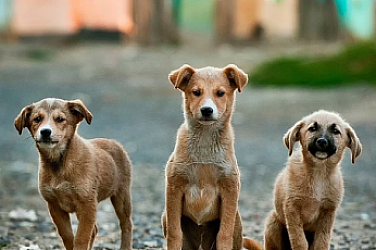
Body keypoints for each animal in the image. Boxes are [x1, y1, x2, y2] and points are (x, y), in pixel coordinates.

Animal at [14, 98, 134, 250]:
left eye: (60, 119)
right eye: (37, 119)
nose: (45, 131)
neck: (60, 163)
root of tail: (114, 142)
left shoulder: (87, 203)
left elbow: (81, 237)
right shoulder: (54, 205)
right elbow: (67, 236)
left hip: (121, 195)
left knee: (126, 224)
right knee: (95, 230)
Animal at [162, 64, 262, 250]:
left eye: (220, 93)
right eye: (196, 92)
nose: (207, 110)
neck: (205, 143)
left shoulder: (230, 187)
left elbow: (224, 234)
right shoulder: (174, 186)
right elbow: (175, 233)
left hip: (237, 219)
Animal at [262, 111, 362, 250]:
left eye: (336, 131)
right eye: (312, 128)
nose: (322, 141)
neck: (319, 173)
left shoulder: (328, 211)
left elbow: (321, 242)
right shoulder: (292, 208)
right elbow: (299, 240)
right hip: (273, 222)